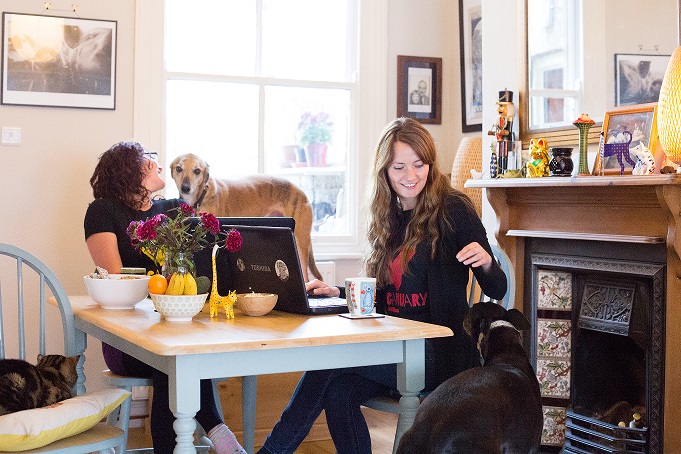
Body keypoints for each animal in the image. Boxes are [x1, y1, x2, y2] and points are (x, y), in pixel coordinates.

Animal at [169, 153, 320, 280]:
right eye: (178, 168)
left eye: (197, 170)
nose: (185, 188)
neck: (201, 196)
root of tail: (301, 192)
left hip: (300, 243)